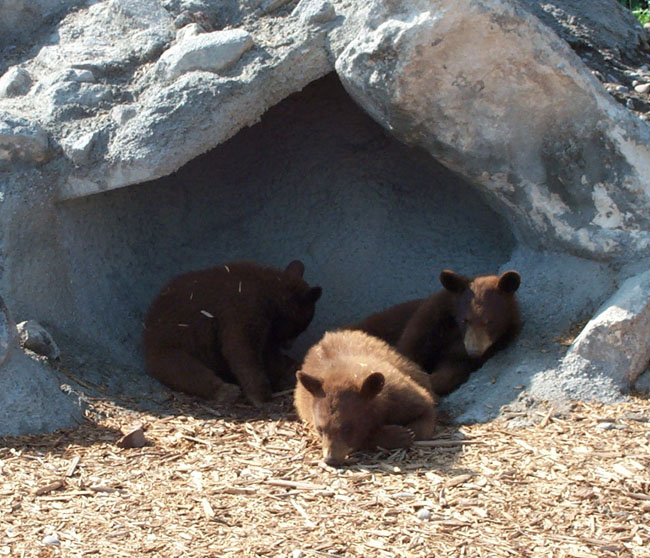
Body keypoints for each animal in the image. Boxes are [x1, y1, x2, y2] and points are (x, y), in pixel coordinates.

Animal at [143, 260, 322, 406]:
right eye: (299, 328)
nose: (288, 346)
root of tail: (148, 328)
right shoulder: (245, 308)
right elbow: (240, 348)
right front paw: (261, 394)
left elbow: (267, 353)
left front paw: (290, 370)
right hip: (171, 345)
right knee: (184, 369)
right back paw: (227, 391)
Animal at [294, 329, 437, 466]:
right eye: (320, 429)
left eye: (347, 428)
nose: (330, 460)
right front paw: (397, 435)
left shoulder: (399, 396)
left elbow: (425, 410)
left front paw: (408, 432)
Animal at [352, 270, 521, 396]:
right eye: (464, 320)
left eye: (489, 322)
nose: (474, 351)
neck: (455, 333)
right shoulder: (429, 316)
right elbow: (408, 349)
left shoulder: (480, 352)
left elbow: (450, 371)